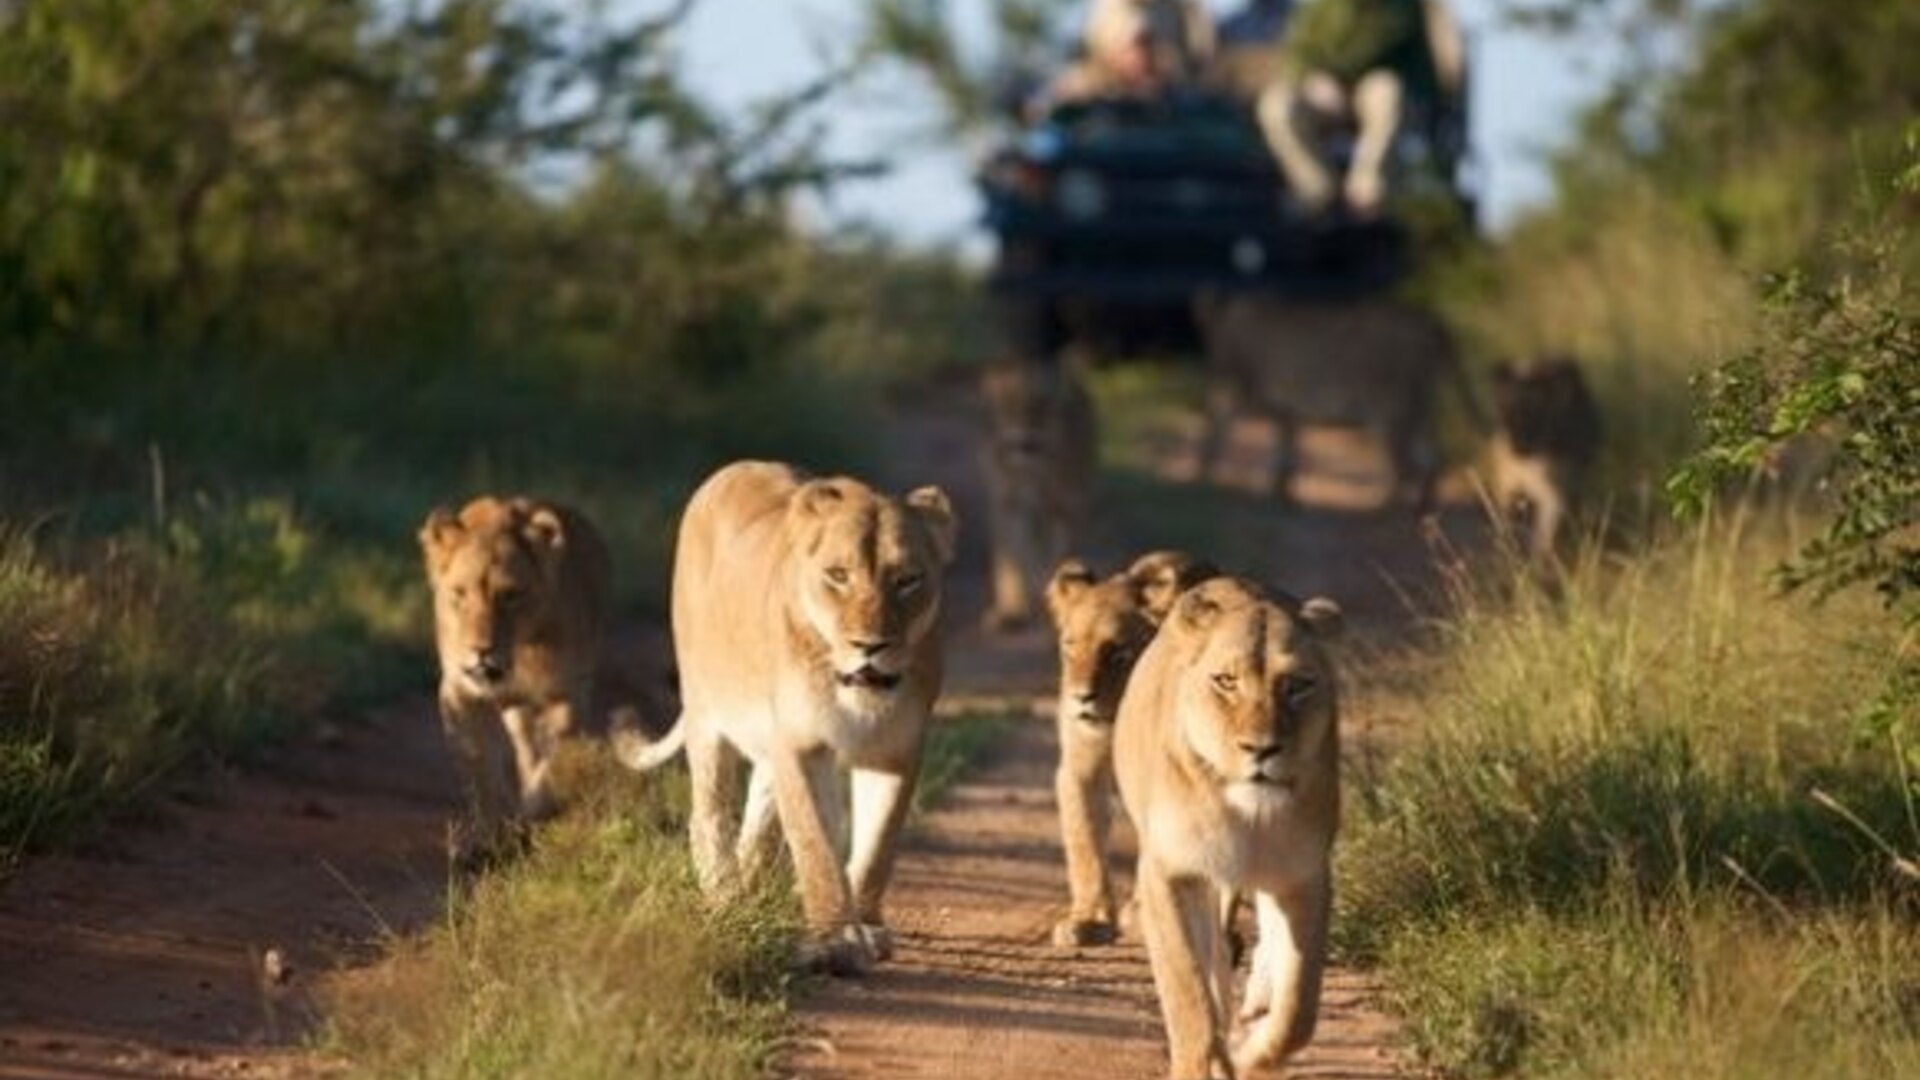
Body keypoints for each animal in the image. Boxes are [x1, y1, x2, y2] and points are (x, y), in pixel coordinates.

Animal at [419, 496, 611, 870]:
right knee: (523, 748)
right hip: (514, 710)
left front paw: (530, 821)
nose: (480, 650)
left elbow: (548, 768)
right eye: (459, 593)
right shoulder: (460, 693)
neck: (518, 655)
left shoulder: (566, 696)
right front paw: (483, 840)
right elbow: (481, 770)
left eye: (509, 595)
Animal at [621, 460, 957, 976]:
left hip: (767, 742)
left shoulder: (895, 750)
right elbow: (815, 845)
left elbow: (877, 845)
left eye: (908, 580)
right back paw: (726, 898)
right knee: (708, 814)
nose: (871, 646)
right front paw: (836, 939)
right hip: (707, 714)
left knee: (758, 820)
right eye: (838, 575)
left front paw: (867, 925)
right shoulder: (802, 745)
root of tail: (729, 470)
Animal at [980, 355, 1098, 632]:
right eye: (1009, 405)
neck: (1031, 472)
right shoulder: (1008, 505)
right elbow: (1016, 558)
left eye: (1042, 406)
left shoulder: (1066, 507)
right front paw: (1013, 610)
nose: (1025, 441)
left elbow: (1059, 554)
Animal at [1044, 550, 1217, 947]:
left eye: (1118, 652)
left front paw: (1139, 913)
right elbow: (1084, 843)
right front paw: (1088, 920)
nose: (1081, 698)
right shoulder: (1080, 766)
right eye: (1070, 646)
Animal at [1114, 577, 1343, 1079]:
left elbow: (1298, 1010)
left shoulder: (1305, 875)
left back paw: (1256, 1004)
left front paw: (1252, 1052)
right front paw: (1205, 1062)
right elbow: (1187, 987)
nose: (1262, 749)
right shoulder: (1169, 873)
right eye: (1226, 681)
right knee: (1214, 959)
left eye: (1297, 686)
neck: (1248, 814)